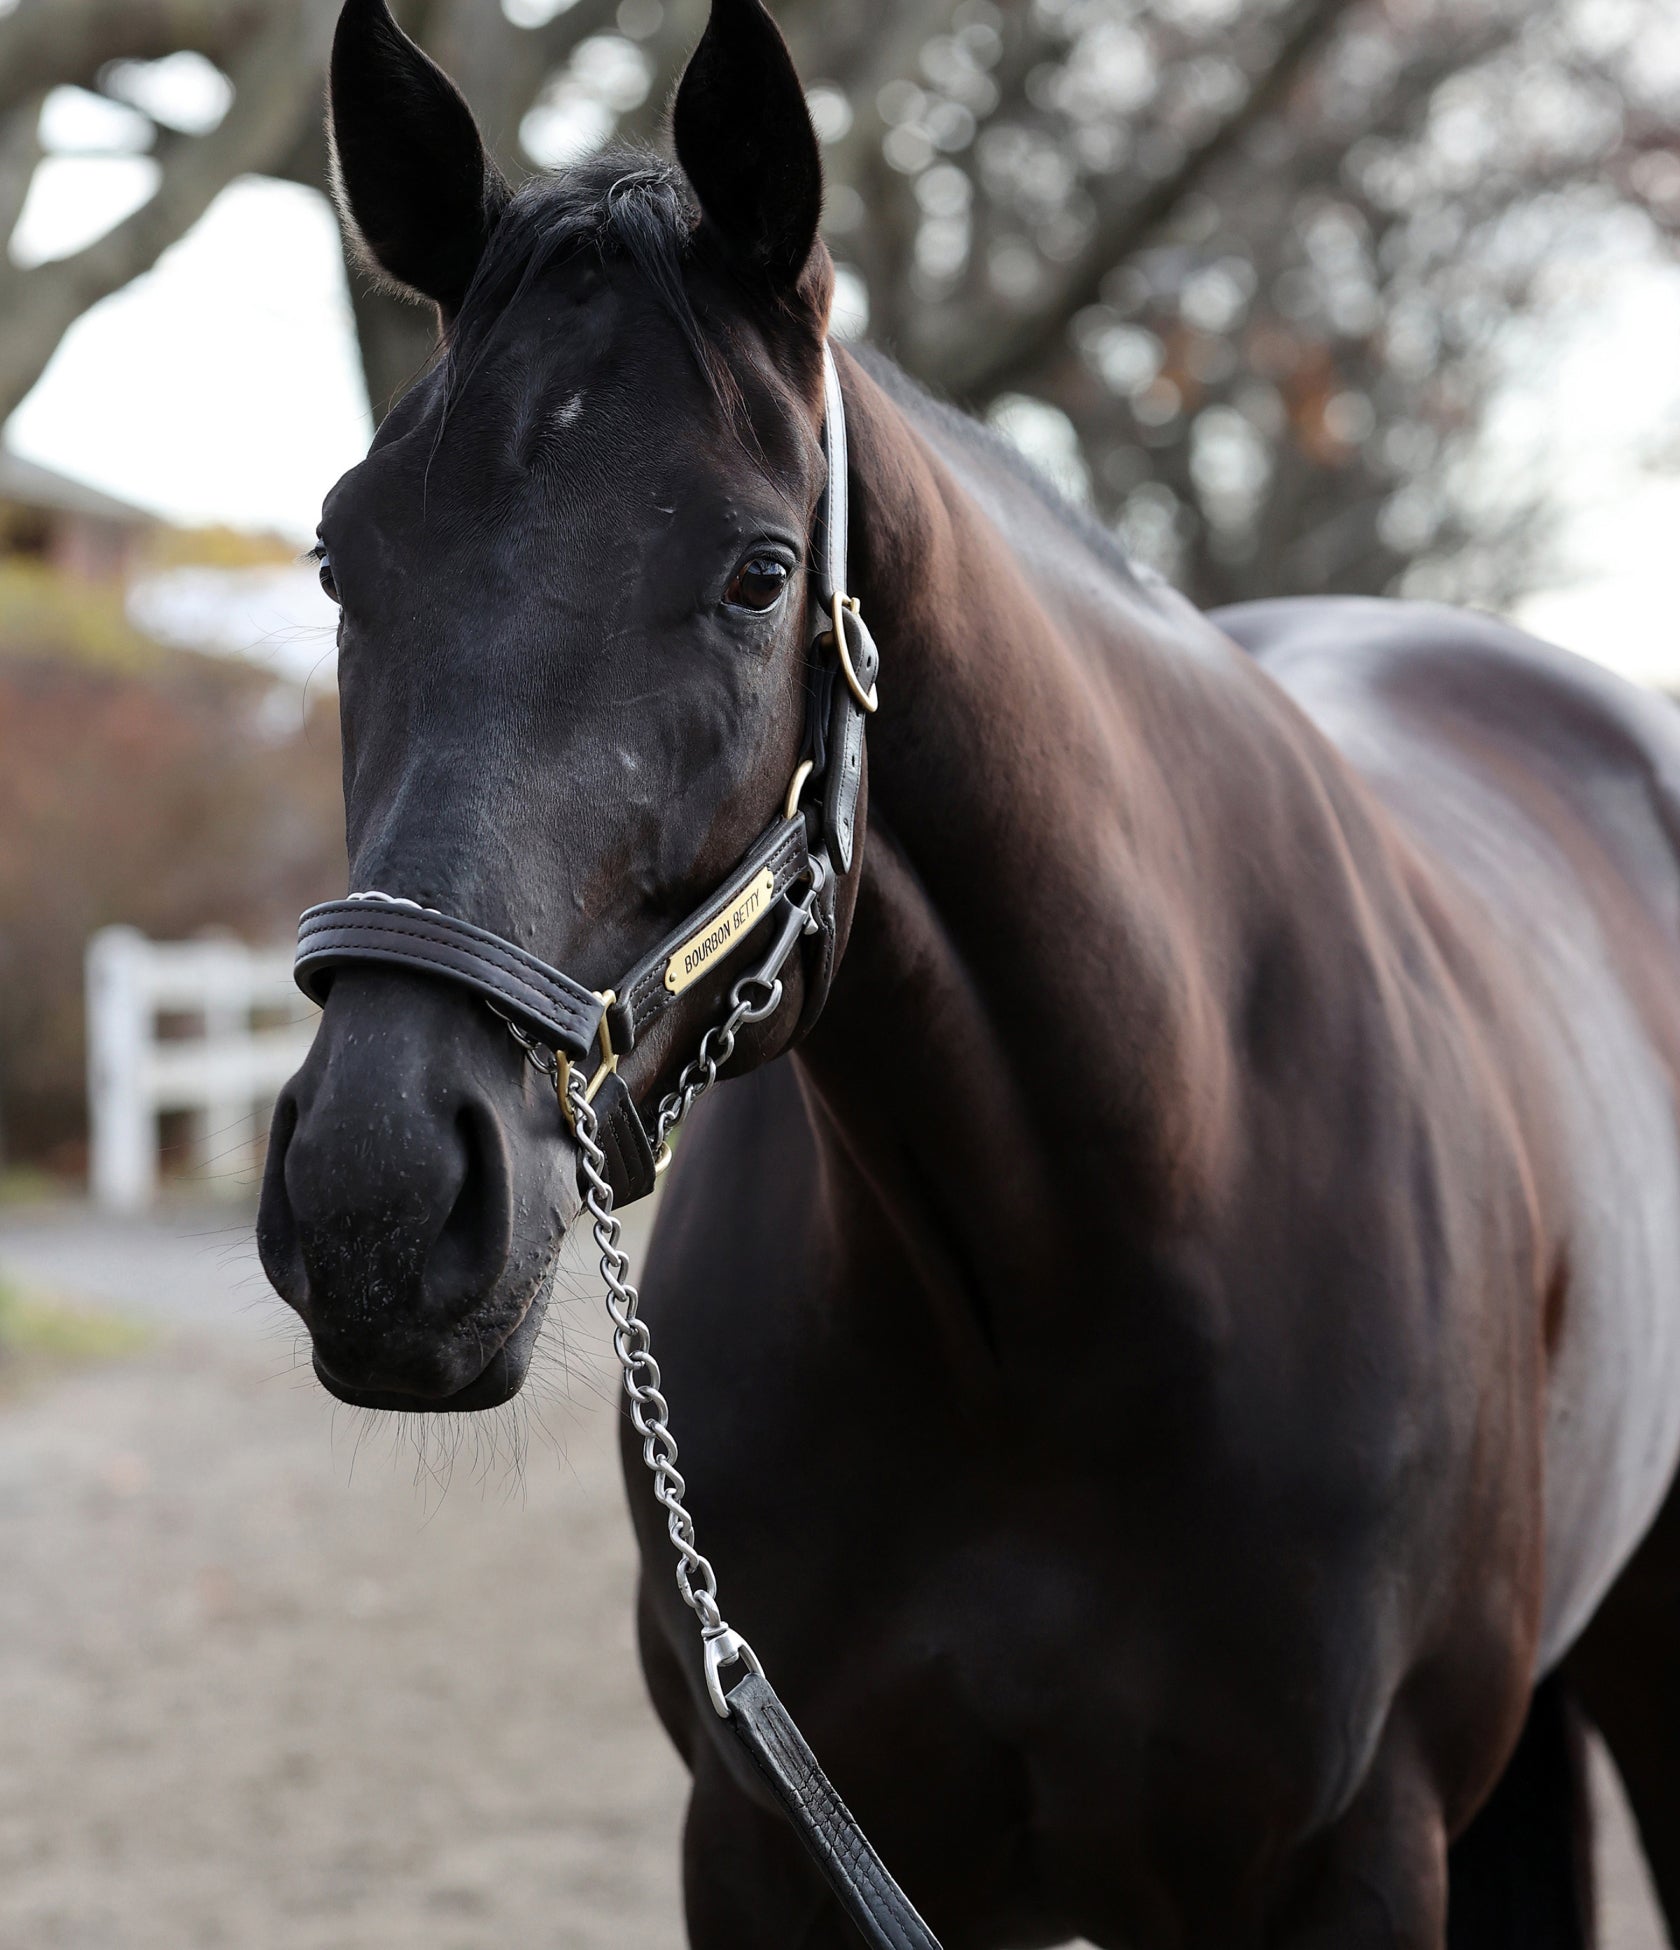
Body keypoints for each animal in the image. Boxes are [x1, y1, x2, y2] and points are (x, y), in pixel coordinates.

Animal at [257, 1, 1680, 1943]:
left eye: (759, 572)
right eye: (343, 554)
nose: (381, 1194)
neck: (1074, 1268)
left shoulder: (1356, 1858)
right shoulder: (774, 1837)